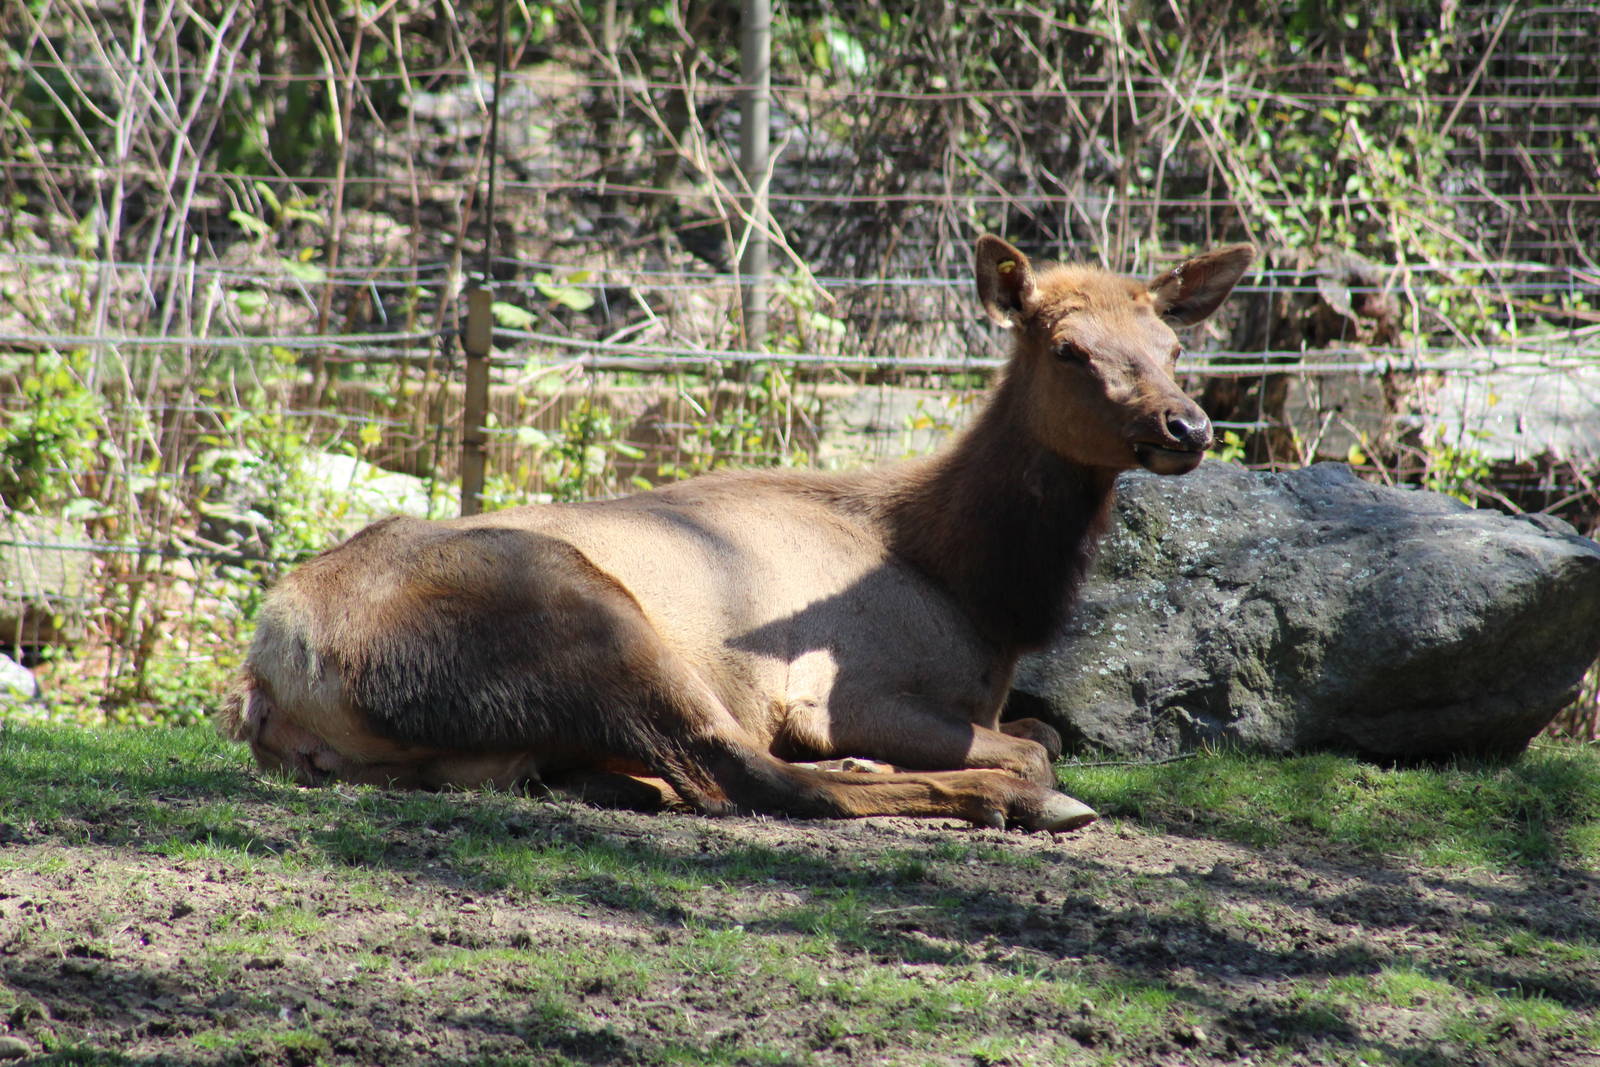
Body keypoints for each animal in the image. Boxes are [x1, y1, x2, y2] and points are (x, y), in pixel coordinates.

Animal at [218, 235, 1254, 832]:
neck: (985, 600)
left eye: (1173, 346)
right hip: (584, 613)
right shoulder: (842, 690)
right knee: (748, 773)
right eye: (1069, 348)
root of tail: (273, 669)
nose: (1188, 425)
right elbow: (1038, 743)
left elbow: (1040, 724)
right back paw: (1008, 802)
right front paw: (1020, 780)